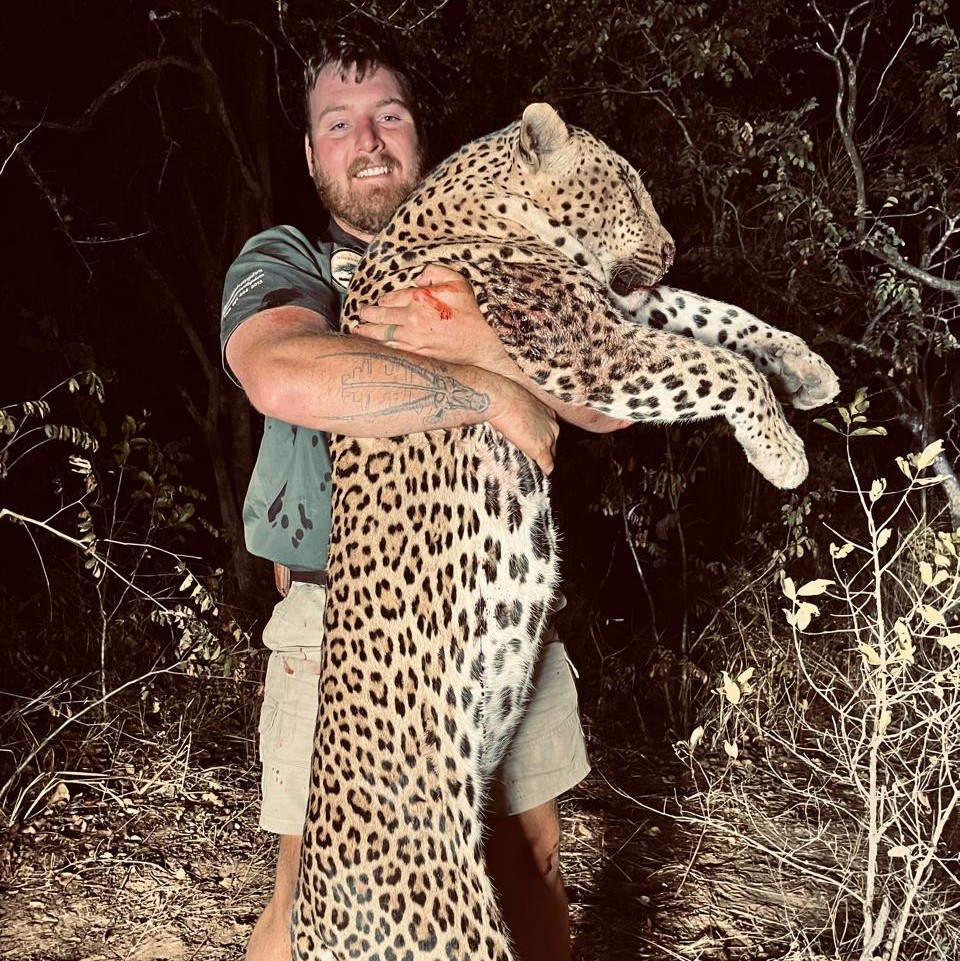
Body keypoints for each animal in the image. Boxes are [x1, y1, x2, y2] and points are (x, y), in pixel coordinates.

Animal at [291, 103, 839, 961]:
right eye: (626, 187)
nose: (671, 245)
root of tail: (314, 918)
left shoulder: (618, 307)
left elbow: (714, 315)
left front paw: (806, 369)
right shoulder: (591, 344)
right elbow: (717, 364)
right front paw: (782, 451)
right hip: (461, 929)